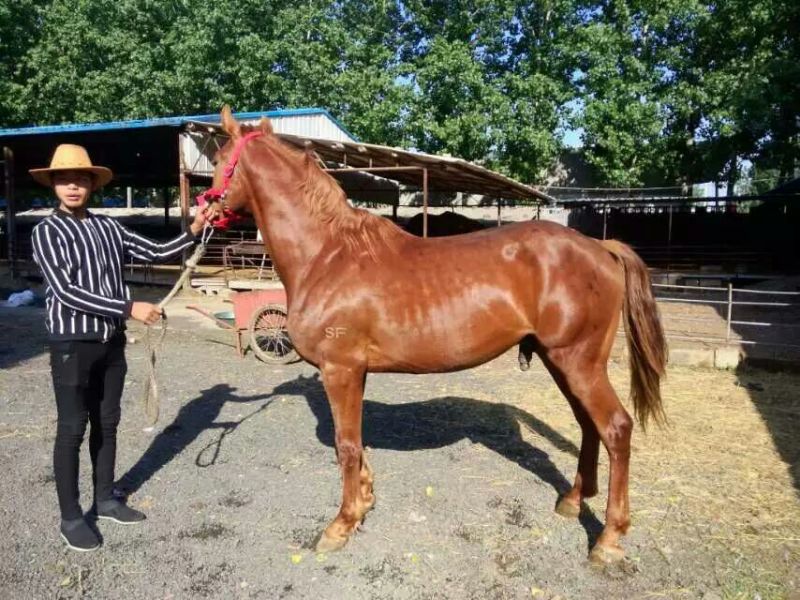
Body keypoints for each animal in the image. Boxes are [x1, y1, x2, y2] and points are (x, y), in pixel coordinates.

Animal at [208, 106, 667, 565]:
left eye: (216, 161)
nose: (201, 216)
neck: (327, 256)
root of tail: (601, 248)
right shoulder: (356, 372)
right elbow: (357, 442)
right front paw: (365, 500)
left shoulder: (340, 369)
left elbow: (347, 445)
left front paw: (341, 524)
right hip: (565, 363)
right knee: (590, 426)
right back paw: (573, 500)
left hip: (578, 362)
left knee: (615, 428)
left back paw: (608, 538)